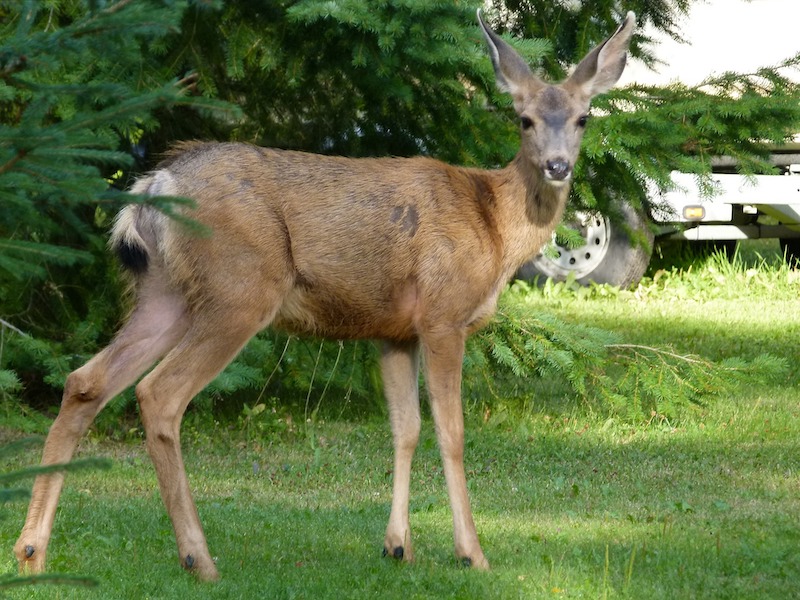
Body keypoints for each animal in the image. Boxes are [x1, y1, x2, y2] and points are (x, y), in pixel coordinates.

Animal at [14, 9, 636, 580]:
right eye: (524, 118)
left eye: (583, 117)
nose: (557, 166)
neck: (495, 227)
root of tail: (153, 185)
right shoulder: (443, 315)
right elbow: (452, 433)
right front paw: (472, 553)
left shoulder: (394, 331)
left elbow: (405, 429)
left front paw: (398, 546)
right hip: (241, 288)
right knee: (158, 394)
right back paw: (199, 558)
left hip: (165, 293)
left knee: (86, 381)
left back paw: (32, 552)